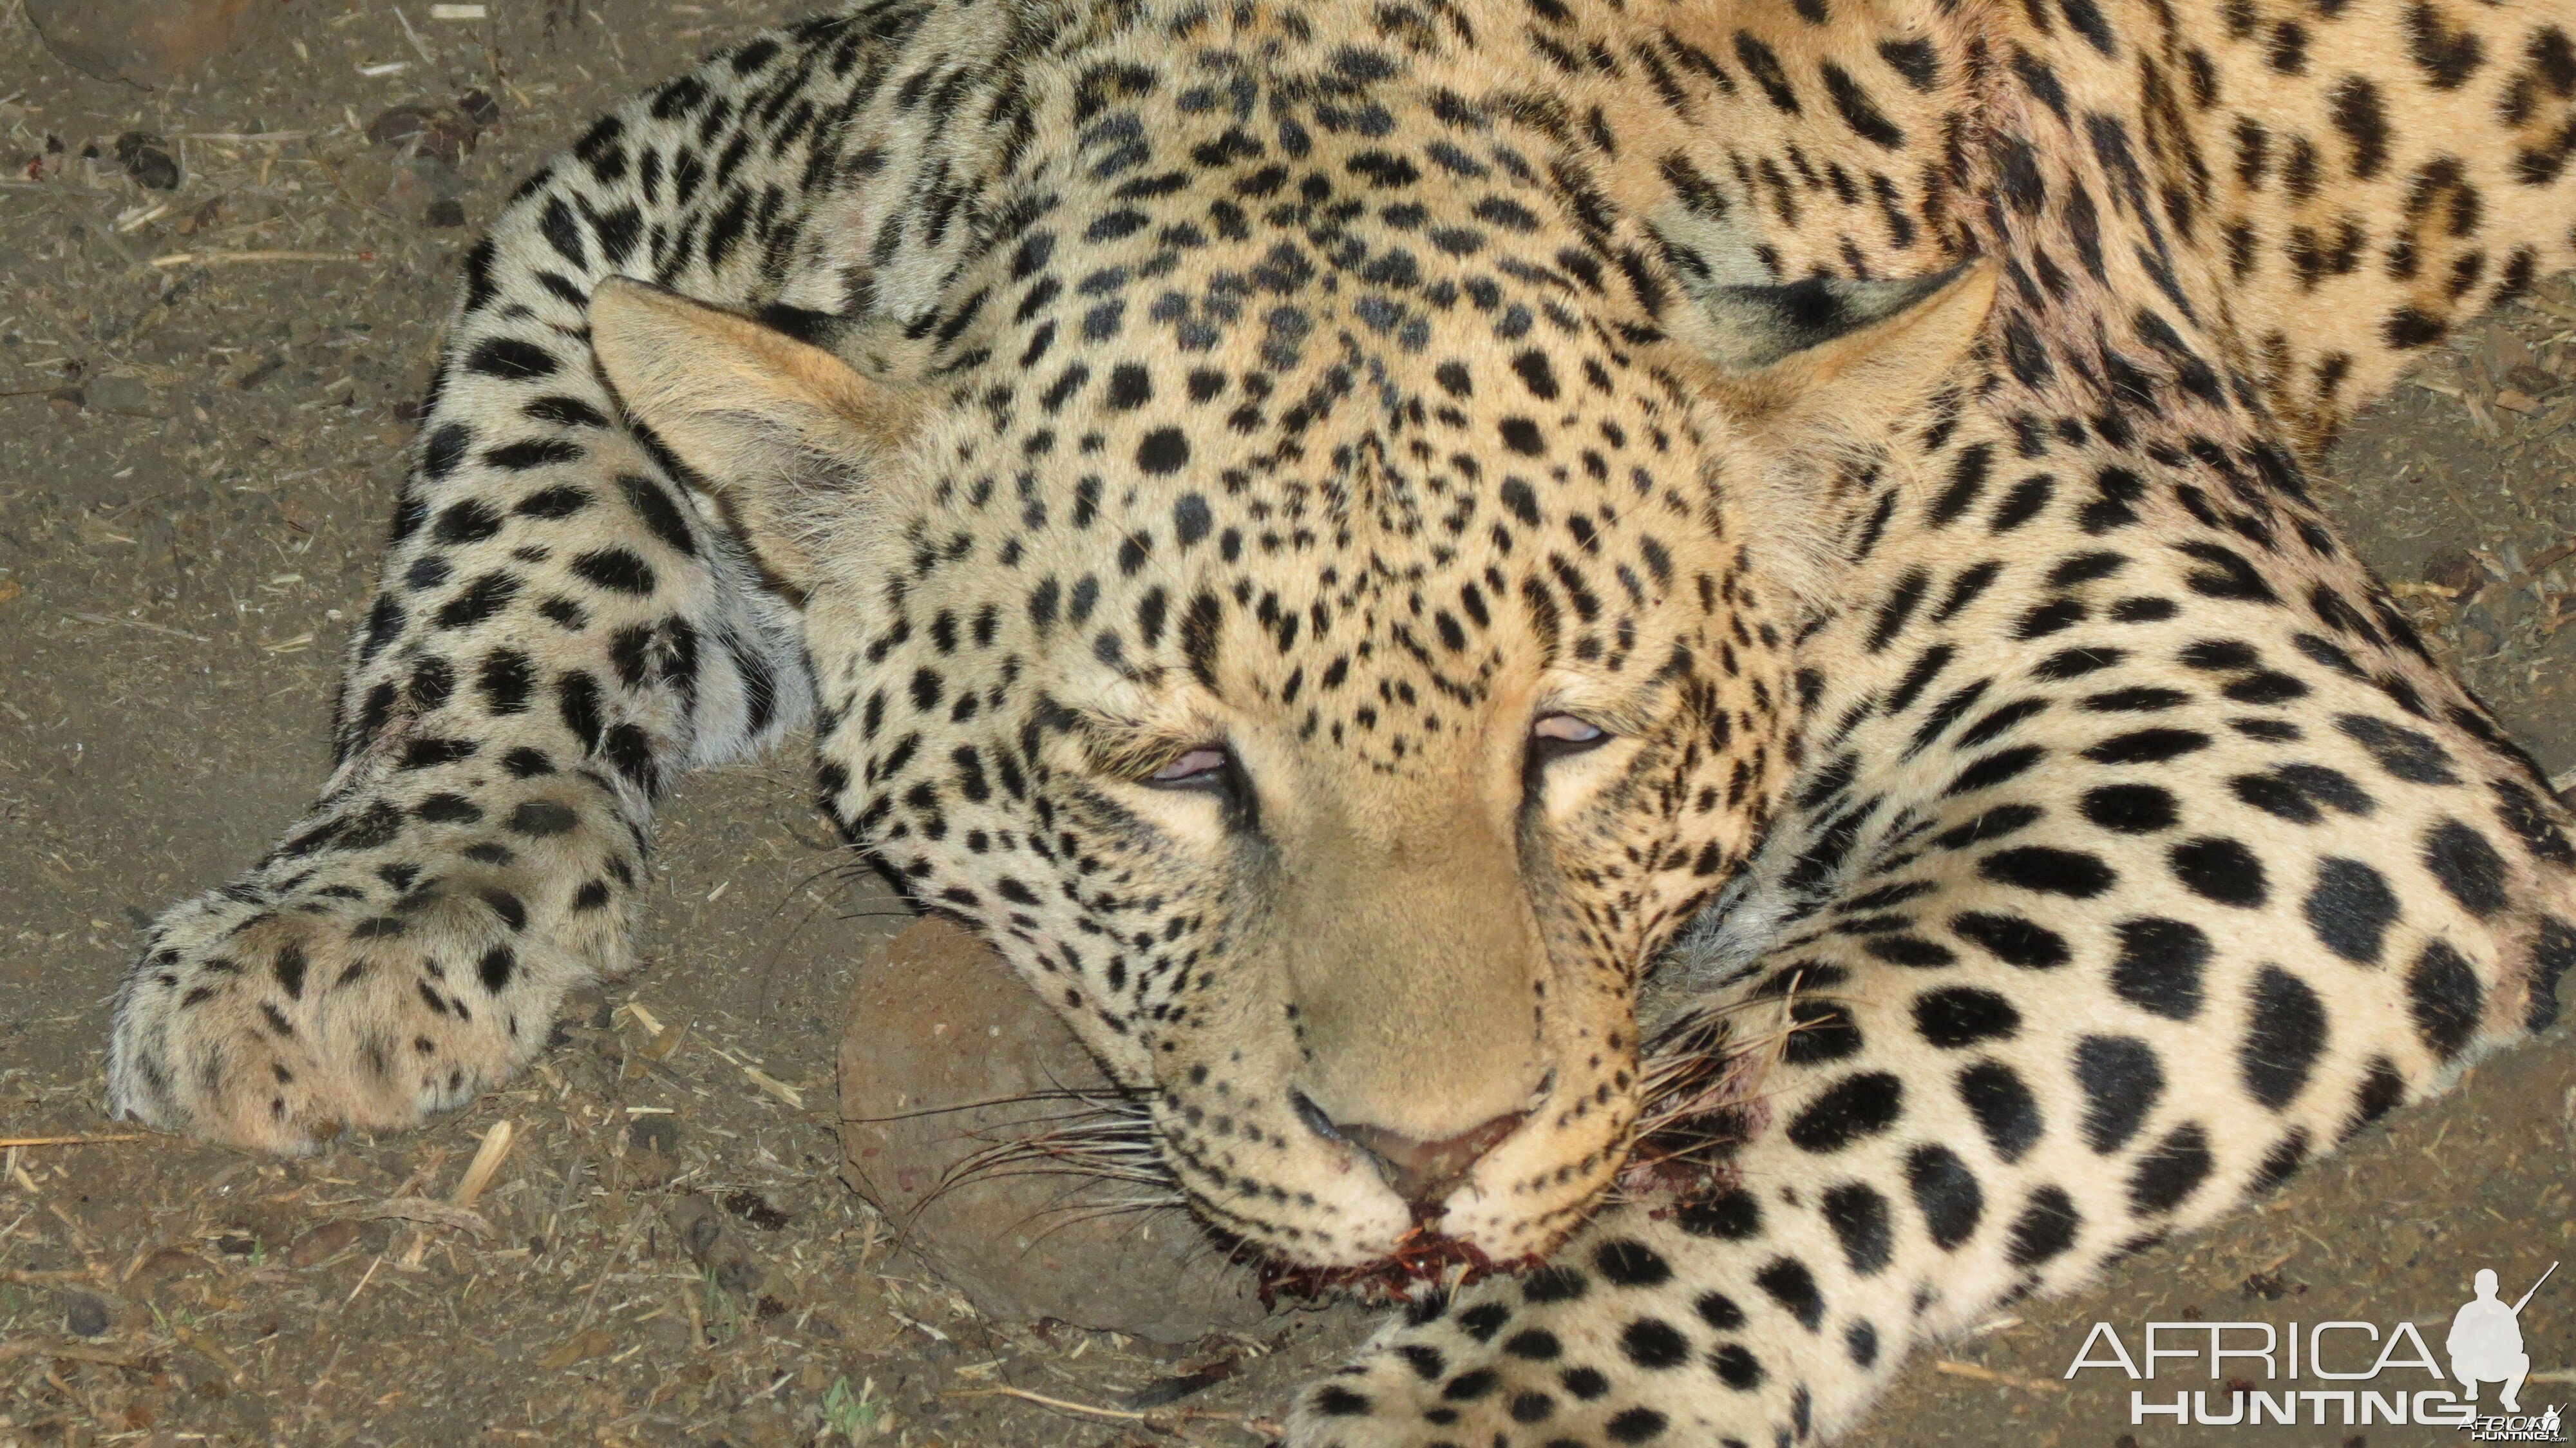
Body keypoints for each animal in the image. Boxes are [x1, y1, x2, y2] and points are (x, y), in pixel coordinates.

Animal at [100, 0, 2576, 1433]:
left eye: (1576, 738)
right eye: (1181, 770)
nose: (1429, 1159)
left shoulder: (2271, 719)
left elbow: (1789, 1075)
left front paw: (1481, 1401)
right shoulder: (620, 209)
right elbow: (505, 562)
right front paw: (358, 917)